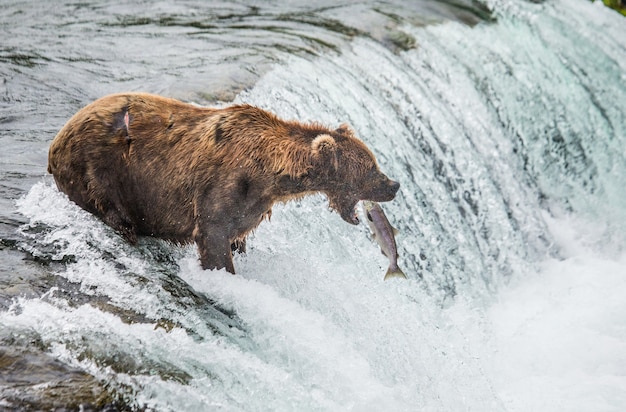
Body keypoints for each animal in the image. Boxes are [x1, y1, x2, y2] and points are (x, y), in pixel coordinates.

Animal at [48, 93, 400, 274]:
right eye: (371, 168)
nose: (394, 185)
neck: (271, 173)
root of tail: (55, 142)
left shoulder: (252, 203)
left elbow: (237, 232)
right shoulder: (223, 185)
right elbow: (213, 234)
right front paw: (224, 272)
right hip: (100, 167)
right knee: (110, 206)